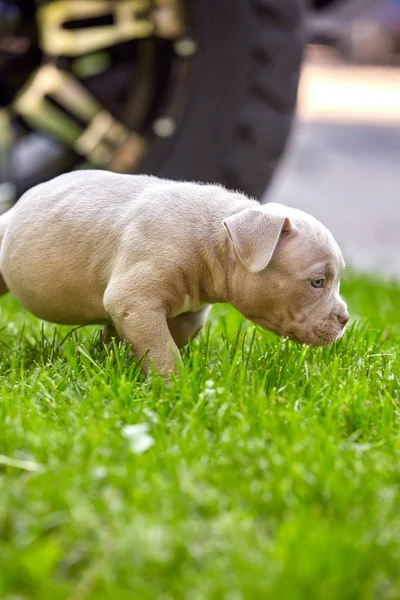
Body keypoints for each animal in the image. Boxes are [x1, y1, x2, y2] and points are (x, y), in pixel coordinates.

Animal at [0, 170, 348, 376]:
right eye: (317, 282)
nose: (345, 318)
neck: (215, 234)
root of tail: (14, 206)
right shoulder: (134, 301)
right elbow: (162, 351)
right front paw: (175, 390)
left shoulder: (186, 314)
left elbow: (164, 339)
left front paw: (115, 361)